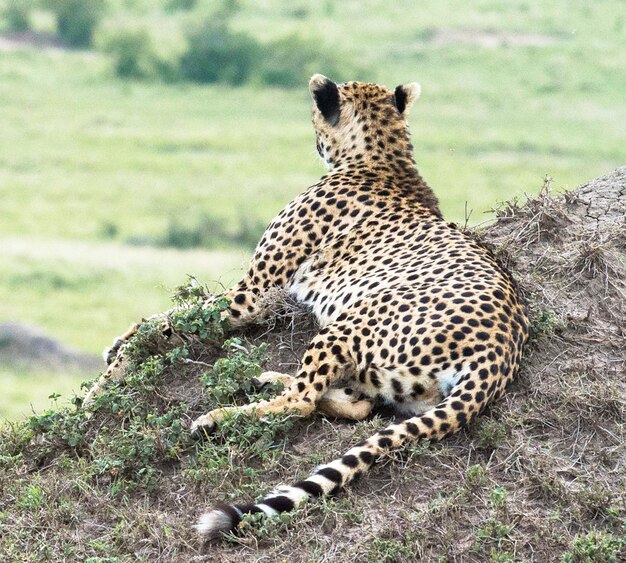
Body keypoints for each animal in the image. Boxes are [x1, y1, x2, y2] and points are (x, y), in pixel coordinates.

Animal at [86, 74, 528, 536]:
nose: (313, 138)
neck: (381, 158)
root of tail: (501, 354)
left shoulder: (253, 296)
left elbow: (169, 322)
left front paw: (111, 371)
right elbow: (168, 317)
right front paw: (118, 347)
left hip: (349, 323)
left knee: (302, 401)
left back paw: (219, 417)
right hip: (392, 380)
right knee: (354, 403)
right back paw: (266, 379)